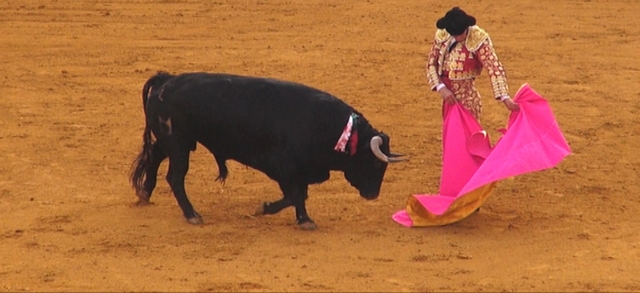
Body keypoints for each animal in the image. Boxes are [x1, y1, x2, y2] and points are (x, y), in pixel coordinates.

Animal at [129, 72, 404, 229]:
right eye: (377, 163)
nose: (373, 195)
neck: (328, 127)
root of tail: (166, 79)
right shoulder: (283, 169)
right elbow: (295, 195)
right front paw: (265, 209)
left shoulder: (299, 172)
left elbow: (300, 195)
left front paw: (304, 220)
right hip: (179, 144)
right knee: (175, 177)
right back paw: (192, 215)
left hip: (174, 141)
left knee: (154, 157)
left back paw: (145, 194)